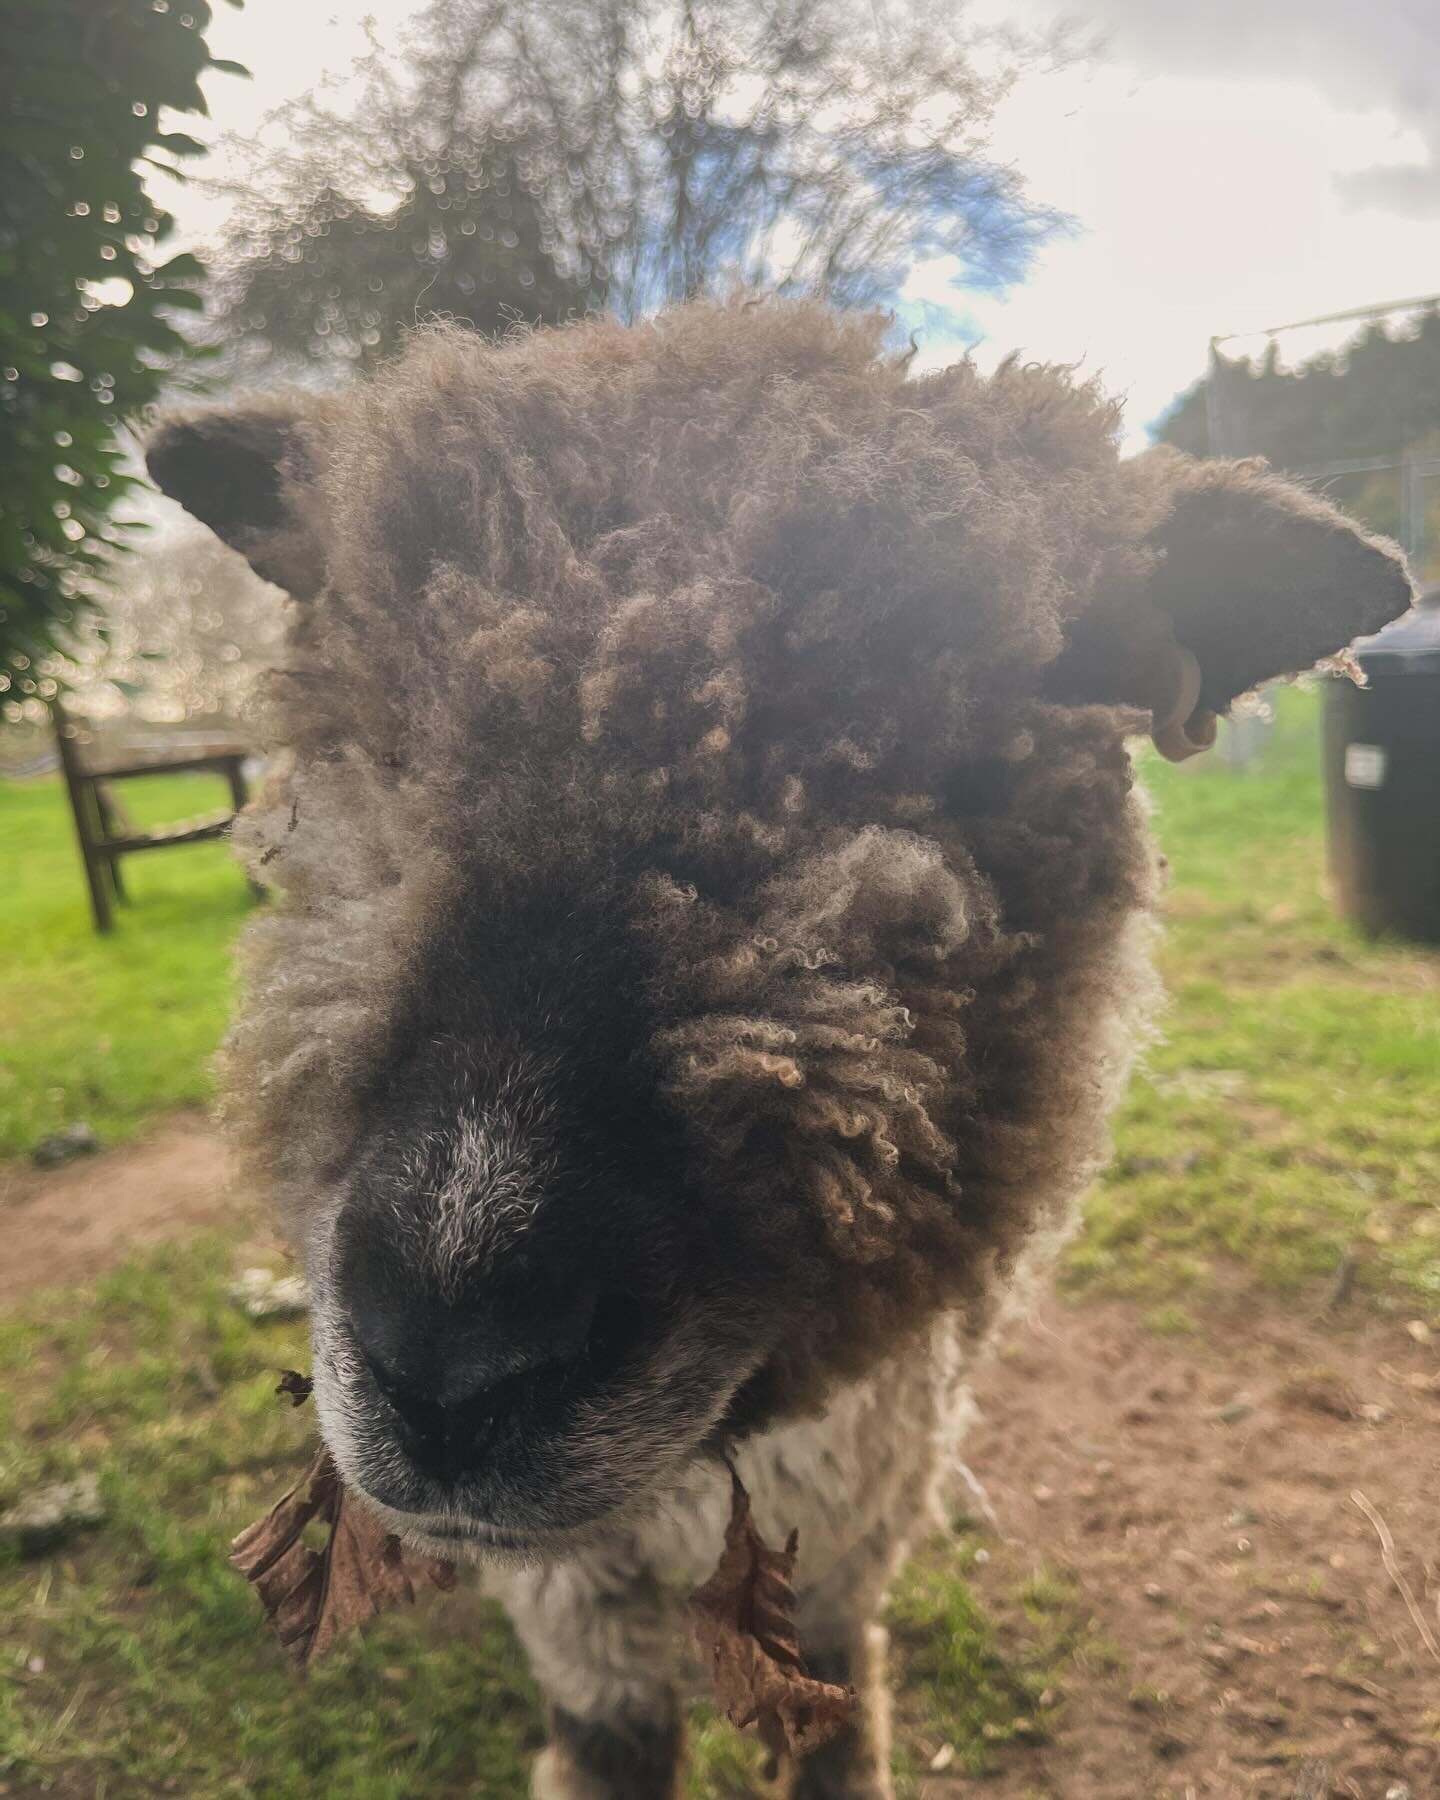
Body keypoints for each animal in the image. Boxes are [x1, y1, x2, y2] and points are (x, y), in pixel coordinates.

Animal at [145, 302, 1404, 1792]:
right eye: (361, 743)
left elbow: (838, 1725)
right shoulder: (576, 1597)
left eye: (970, 774)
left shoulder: (850, 1512)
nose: (452, 1358)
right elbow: (612, 1739)